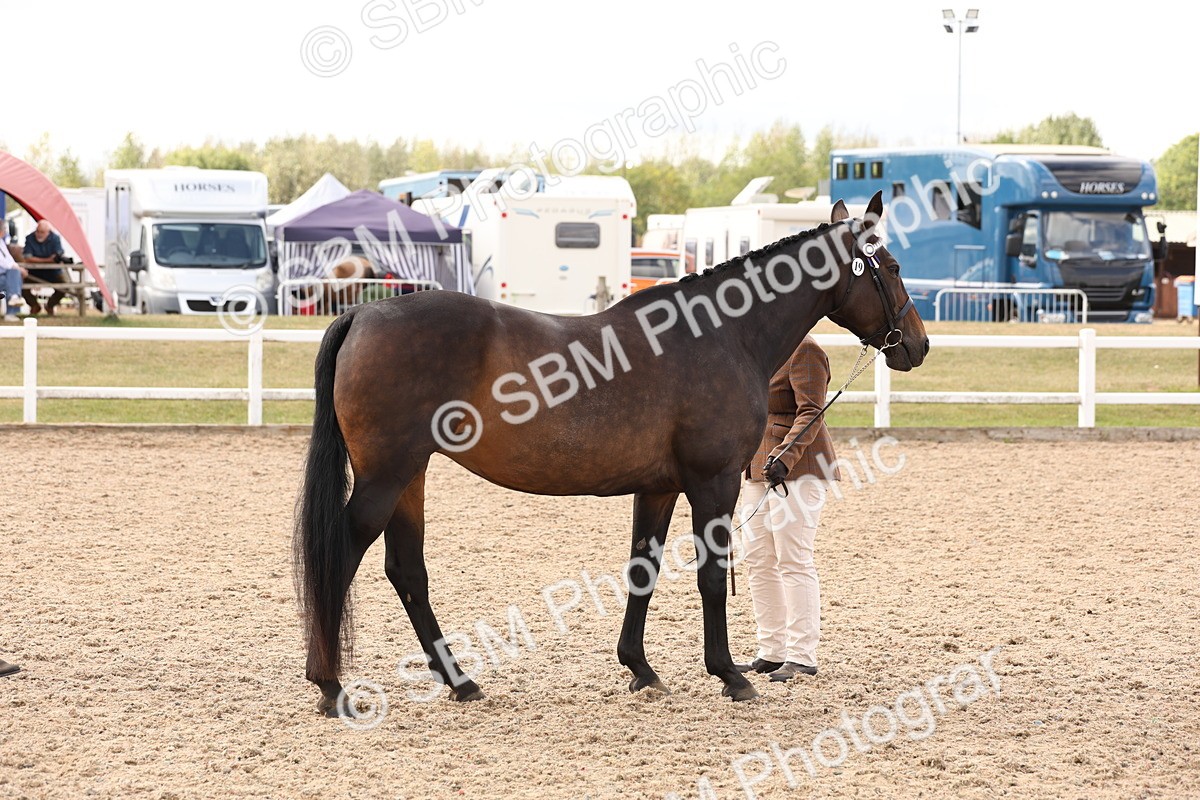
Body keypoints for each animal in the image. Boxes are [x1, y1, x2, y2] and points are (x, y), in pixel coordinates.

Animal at [294, 192, 929, 714]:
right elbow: (708, 574)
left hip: (412, 475)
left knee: (407, 569)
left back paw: (461, 682)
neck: (722, 335)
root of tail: (362, 312)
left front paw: (640, 669)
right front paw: (729, 674)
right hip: (385, 476)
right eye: (893, 267)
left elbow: (642, 568)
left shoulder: (659, 487)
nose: (919, 345)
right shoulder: (714, 480)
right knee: (342, 553)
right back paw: (331, 686)